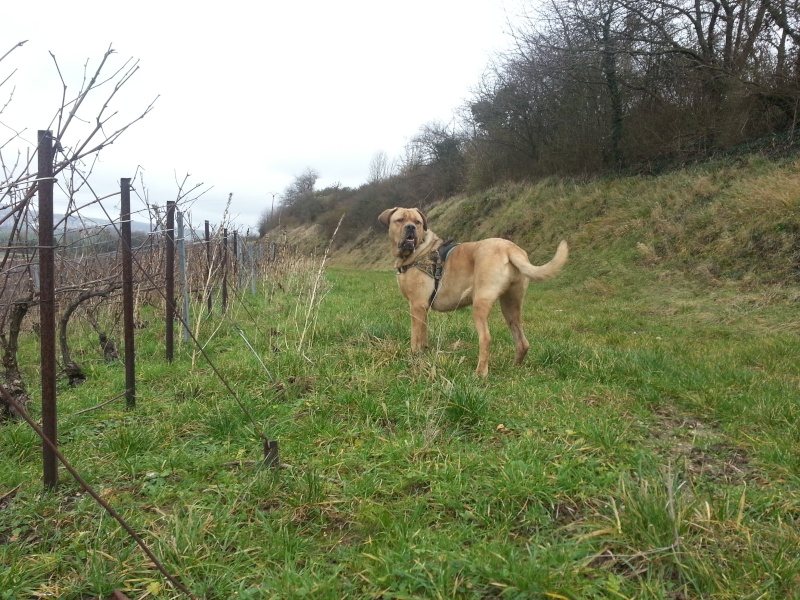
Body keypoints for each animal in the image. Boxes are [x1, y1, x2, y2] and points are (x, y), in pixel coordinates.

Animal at [378, 206, 564, 376]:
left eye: (417, 222)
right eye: (400, 220)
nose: (411, 227)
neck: (418, 250)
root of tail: (510, 249)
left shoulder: (417, 305)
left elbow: (415, 336)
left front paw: (414, 357)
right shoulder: (423, 309)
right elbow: (423, 334)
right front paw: (424, 352)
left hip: (480, 303)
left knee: (486, 338)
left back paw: (480, 373)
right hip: (511, 305)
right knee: (522, 340)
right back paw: (515, 367)